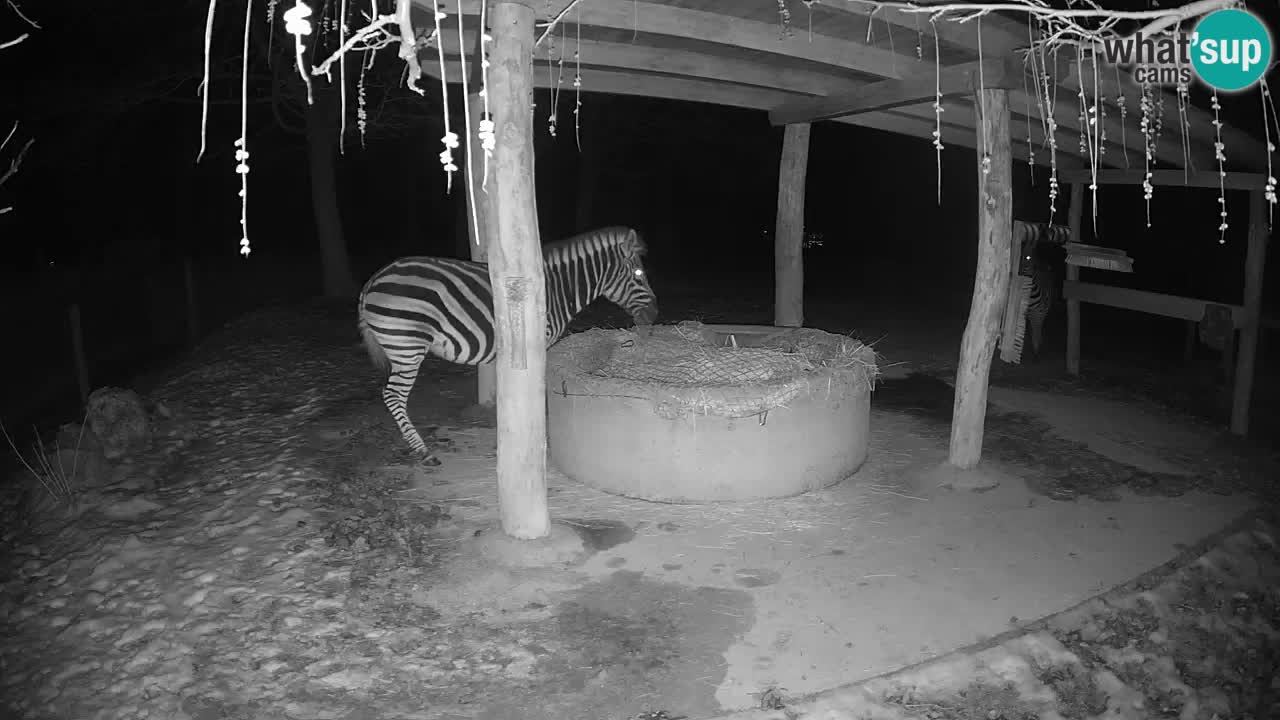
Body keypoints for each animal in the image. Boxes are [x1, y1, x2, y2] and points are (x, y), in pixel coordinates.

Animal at [358, 225, 660, 458]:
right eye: (639, 275)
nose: (654, 316)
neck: (557, 289)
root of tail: (373, 279)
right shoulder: (539, 342)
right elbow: (537, 390)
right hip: (407, 346)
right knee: (393, 395)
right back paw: (423, 451)